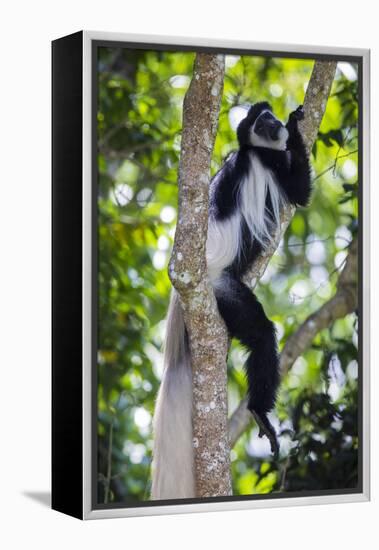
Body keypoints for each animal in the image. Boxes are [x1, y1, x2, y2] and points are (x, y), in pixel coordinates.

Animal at [151, 102, 312, 500]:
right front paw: (296, 126)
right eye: (262, 124)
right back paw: (258, 412)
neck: (252, 152)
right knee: (262, 337)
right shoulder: (273, 167)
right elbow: (300, 192)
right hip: (223, 291)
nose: (274, 124)